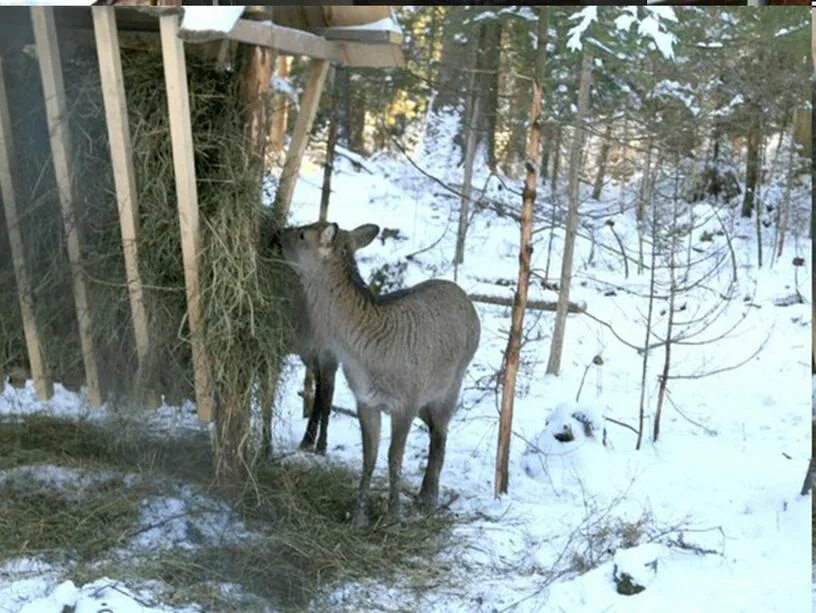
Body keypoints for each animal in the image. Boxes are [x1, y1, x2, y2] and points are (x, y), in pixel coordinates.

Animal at [280, 221, 478, 524]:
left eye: (302, 234)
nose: (276, 235)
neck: (368, 358)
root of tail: (469, 303)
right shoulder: (366, 400)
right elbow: (369, 456)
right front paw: (358, 516)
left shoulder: (406, 402)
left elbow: (394, 458)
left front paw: (393, 518)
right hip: (427, 401)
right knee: (434, 430)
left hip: (452, 383)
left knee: (441, 434)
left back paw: (428, 497)